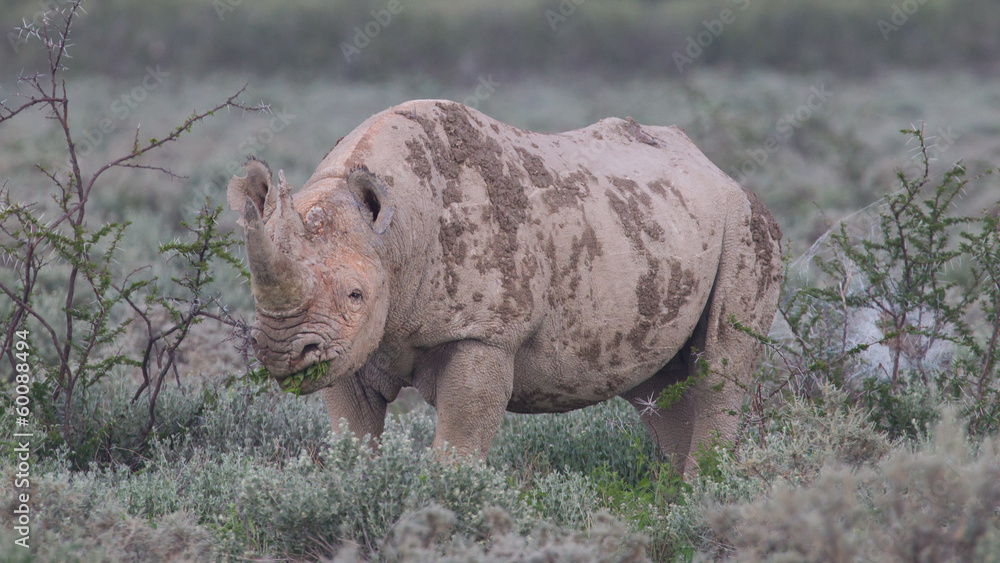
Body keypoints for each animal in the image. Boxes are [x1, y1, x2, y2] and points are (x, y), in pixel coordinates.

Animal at [227, 100, 781, 474]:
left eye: (354, 294)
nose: (282, 351)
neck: (395, 233)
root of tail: (716, 169)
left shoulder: (484, 332)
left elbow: (459, 438)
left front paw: (443, 506)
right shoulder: (352, 344)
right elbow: (352, 435)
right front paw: (351, 490)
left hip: (747, 224)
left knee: (719, 371)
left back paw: (700, 494)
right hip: (657, 227)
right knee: (658, 386)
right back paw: (676, 497)